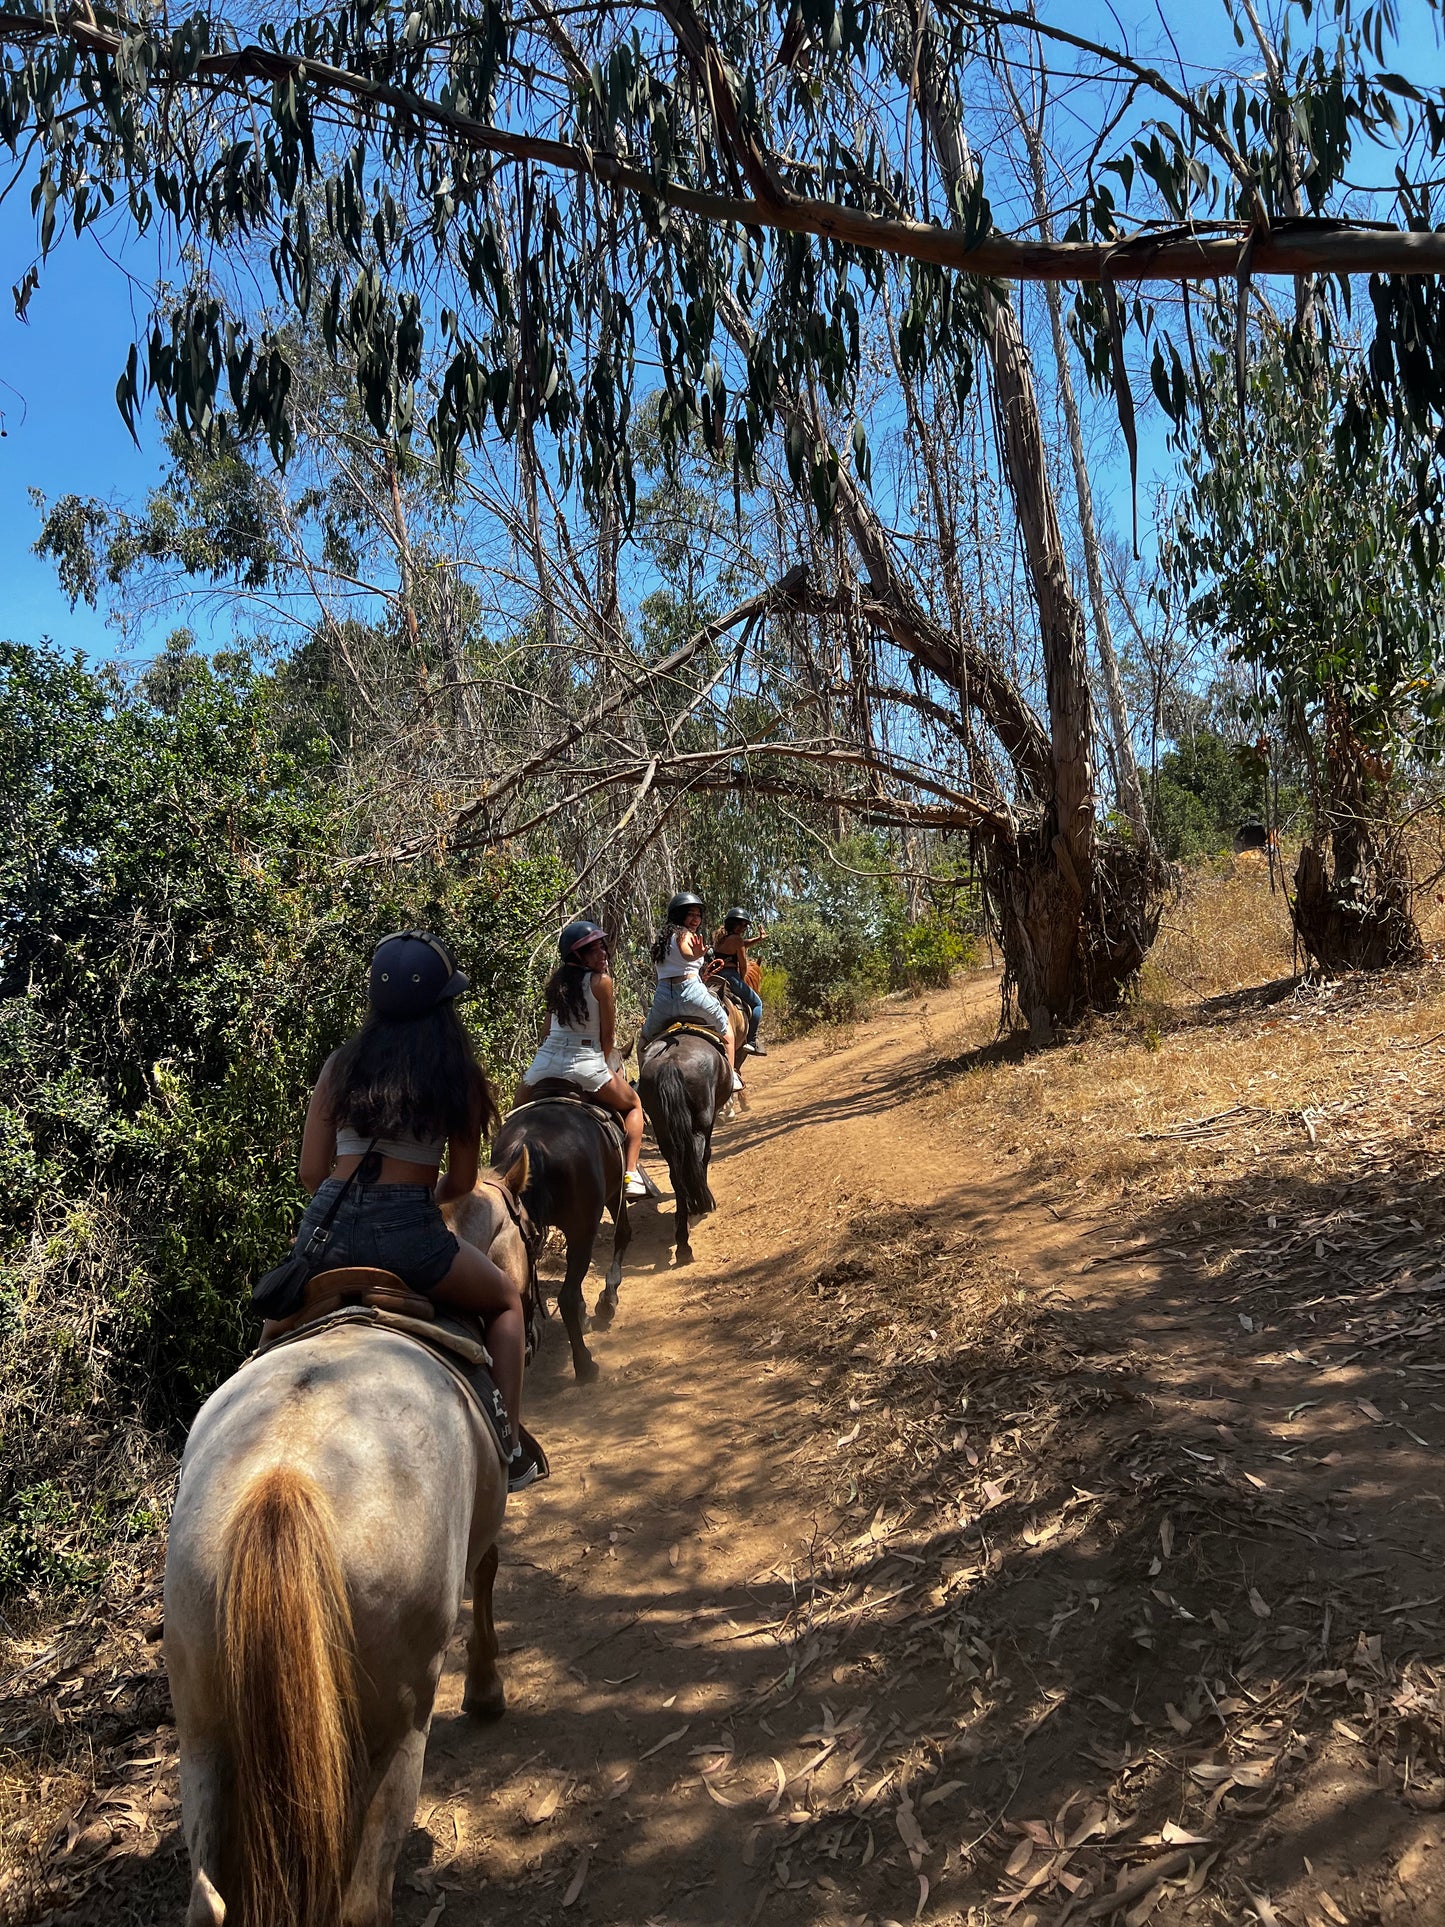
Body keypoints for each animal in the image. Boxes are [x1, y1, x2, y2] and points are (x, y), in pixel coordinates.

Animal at [163, 1156, 535, 1927]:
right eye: (526, 1228)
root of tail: (282, 1476)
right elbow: (487, 1571)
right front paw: (486, 1690)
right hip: (396, 1722)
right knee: (363, 1900)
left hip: (203, 1722)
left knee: (207, 1900)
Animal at [643, 1025, 735, 1264]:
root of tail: (670, 1062)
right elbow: (706, 1155)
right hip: (702, 1120)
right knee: (696, 1156)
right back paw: (700, 1206)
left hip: (663, 1129)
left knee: (677, 1174)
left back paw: (683, 1241)